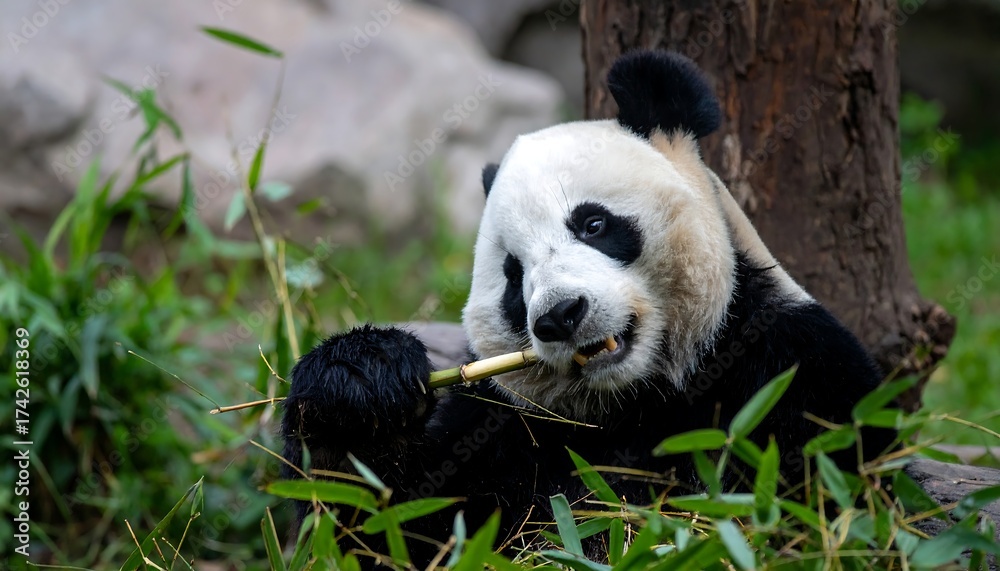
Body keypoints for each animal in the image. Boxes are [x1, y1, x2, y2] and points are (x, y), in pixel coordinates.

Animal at [281, 50, 896, 563]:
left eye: (593, 224)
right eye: (514, 277)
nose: (560, 315)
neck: (635, 400)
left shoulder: (786, 366)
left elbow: (835, 503)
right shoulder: (504, 428)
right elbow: (381, 527)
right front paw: (359, 381)